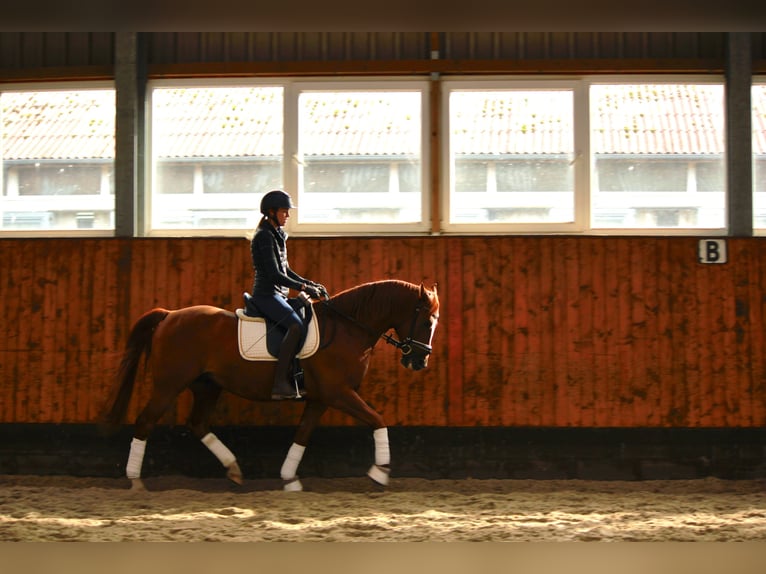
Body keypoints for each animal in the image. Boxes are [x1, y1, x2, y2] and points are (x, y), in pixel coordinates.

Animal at [100, 282, 444, 492]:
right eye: (428, 321)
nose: (419, 361)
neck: (348, 327)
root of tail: (170, 315)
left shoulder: (320, 399)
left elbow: (302, 435)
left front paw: (290, 479)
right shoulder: (339, 394)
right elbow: (377, 420)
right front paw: (380, 472)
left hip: (207, 386)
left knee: (197, 424)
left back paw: (234, 470)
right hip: (169, 385)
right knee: (145, 421)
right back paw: (136, 481)